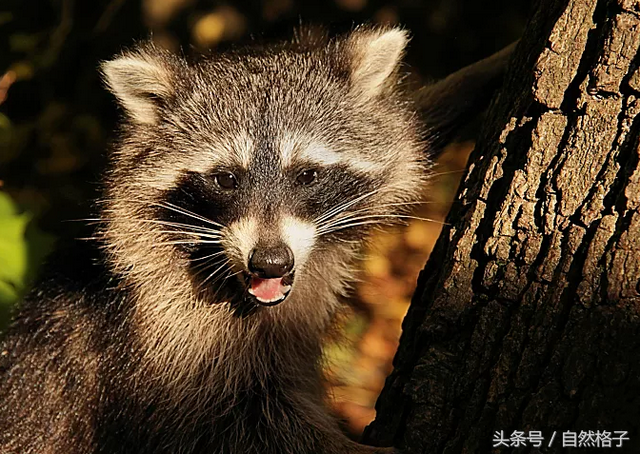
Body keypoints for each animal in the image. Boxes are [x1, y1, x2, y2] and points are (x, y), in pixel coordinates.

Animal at [0, 26, 512, 452]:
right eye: (226, 179)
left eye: (307, 174)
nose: (269, 262)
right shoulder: (164, 333)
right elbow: (234, 425)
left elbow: (414, 128)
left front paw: (486, 70)